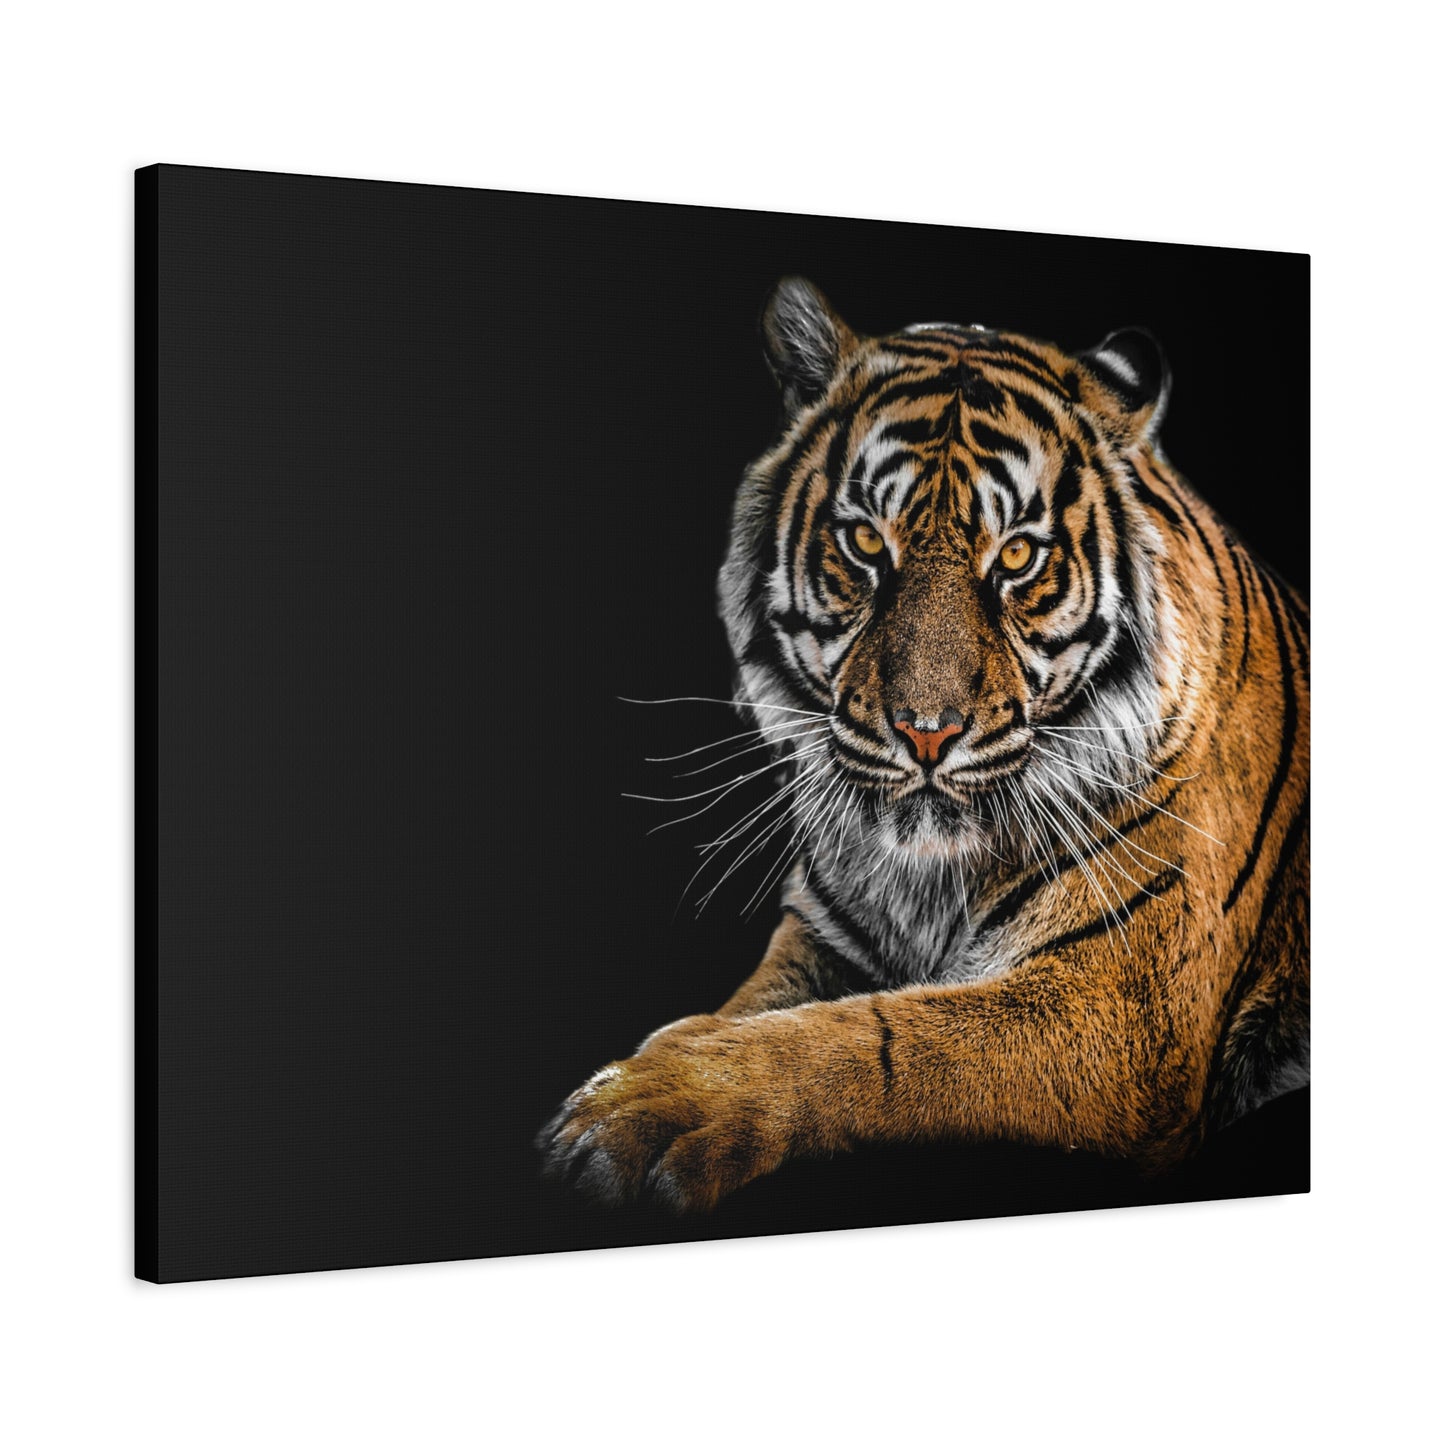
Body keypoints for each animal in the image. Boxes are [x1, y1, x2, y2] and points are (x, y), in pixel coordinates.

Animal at [538, 277, 1310, 1213]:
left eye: (1016, 556)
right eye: (867, 541)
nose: (926, 732)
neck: (926, 879)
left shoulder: (1118, 1006)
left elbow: (877, 1038)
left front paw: (648, 1103)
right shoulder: (823, 937)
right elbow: (754, 1007)